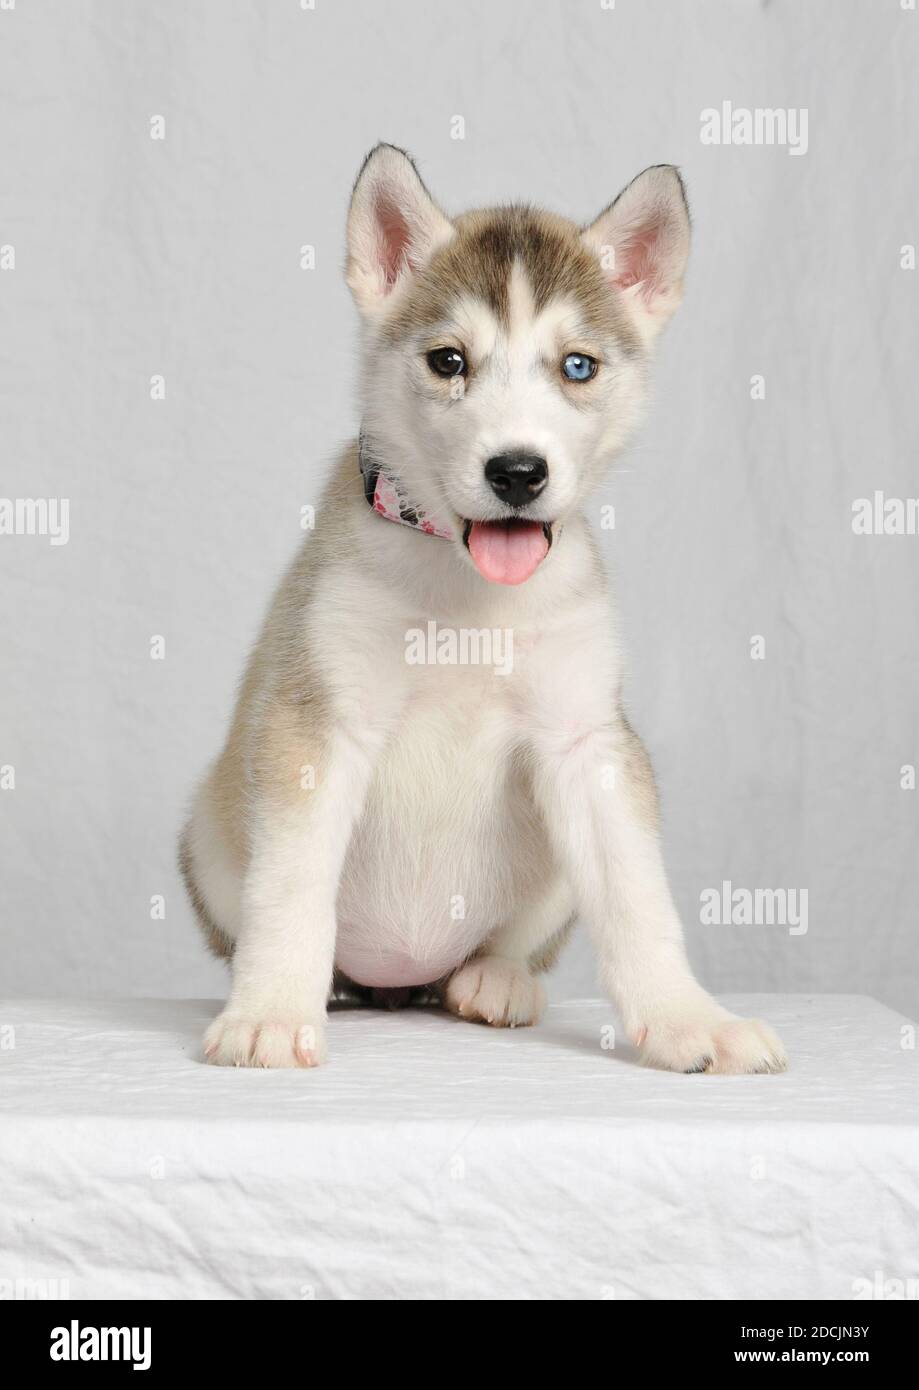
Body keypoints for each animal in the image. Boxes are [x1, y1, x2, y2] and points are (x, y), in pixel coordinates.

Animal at [182, 143, 784, 1073]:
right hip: (208, 837)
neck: (467, 596)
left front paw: (690, 1019)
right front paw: (270, 1013)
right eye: (447, 361)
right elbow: (290, 888)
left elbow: (638, 901)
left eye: (577, 366)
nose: (517, 473)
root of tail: (401, 984)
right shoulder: (314, 725)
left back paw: (494, 980)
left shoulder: (587, 740)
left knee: (500, 951)